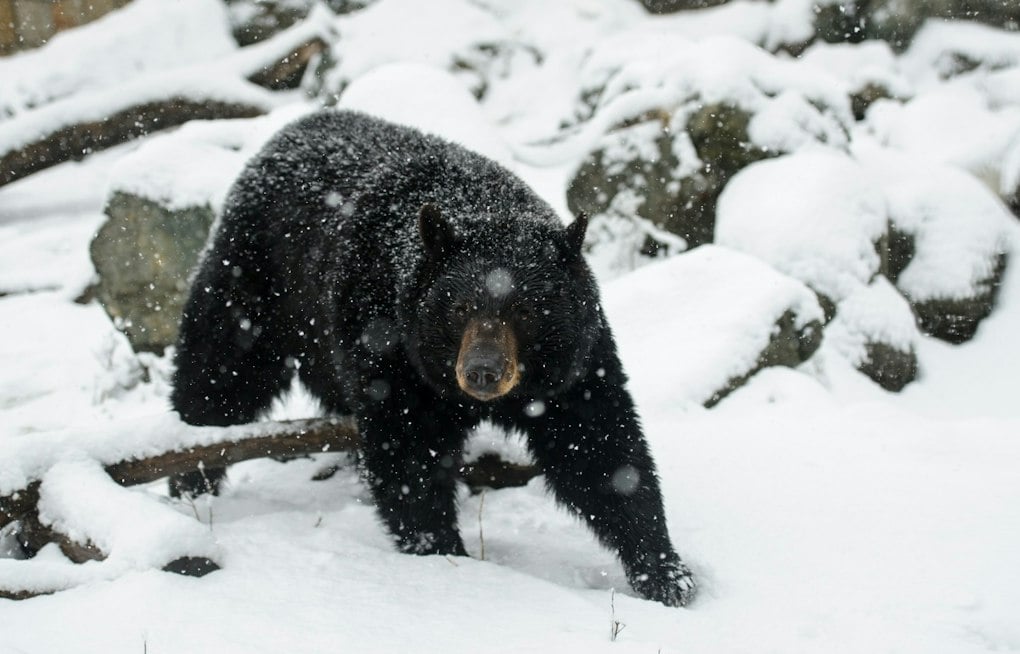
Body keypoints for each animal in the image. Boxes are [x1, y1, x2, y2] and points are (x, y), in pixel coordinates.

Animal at [170, 110, 697, 607]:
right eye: (459, 307)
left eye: (525, 310)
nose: (482, 371)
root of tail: (290, 130)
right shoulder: (390, 347)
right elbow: (408, 452)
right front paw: (443, 555)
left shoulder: (574, 361)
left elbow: (600, 448)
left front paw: (666, 572)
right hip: (254, 282)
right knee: (218, 375)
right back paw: (188, 483)